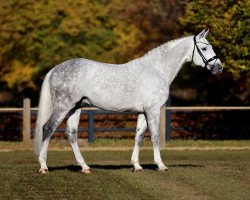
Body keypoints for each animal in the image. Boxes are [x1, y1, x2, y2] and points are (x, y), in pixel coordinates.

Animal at [34, 29, 223, 173]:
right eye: (204, 48)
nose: (219, 67)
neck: (156, 69)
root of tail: (55, 69)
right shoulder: (153, 110)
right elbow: (155, 136)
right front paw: (160, 165)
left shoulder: (142, 112)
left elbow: (139, 137)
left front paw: (137, 166)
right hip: (63, 106)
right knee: (48, 128)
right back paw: (44, 167)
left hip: (75, 108)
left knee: (71, 134)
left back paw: (85, 167)